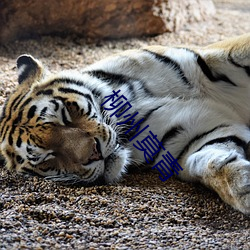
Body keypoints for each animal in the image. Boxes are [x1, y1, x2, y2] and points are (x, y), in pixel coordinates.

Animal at [0, 32, 250, 213]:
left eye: (65, 116)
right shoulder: (191, 136)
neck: (130, 106)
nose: (95, 153)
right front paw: (243, 188)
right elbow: (210, 161)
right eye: (48, 157)